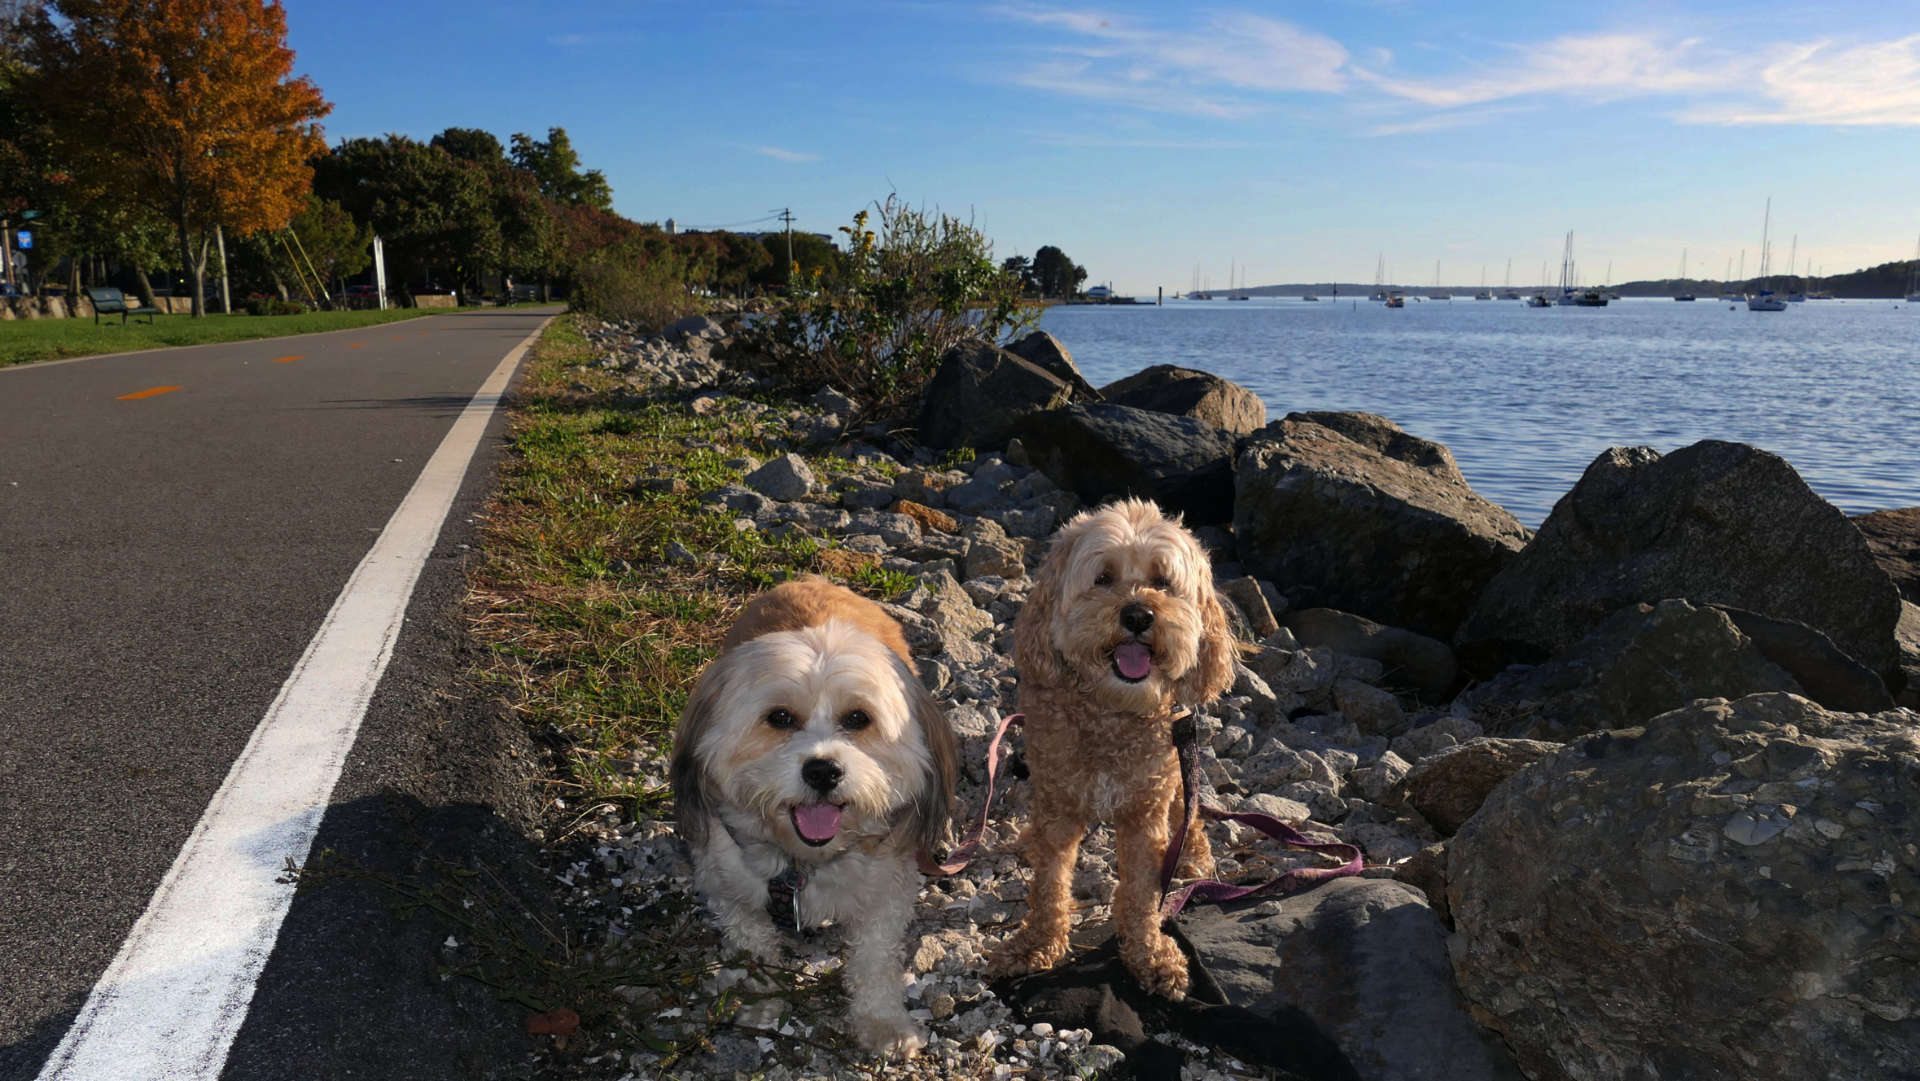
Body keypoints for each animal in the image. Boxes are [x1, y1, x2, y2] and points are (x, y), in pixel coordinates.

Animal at [672, 579, 956, 1059]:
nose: (823, 771)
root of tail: (810, 580)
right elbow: (755, 947)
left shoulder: (885, 892)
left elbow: (874, 961)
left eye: (858, 718)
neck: (803, 862)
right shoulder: (729, 888)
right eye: (780, 717)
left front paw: (882, 1023)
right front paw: (761, 1000)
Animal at [983, 499, 1236, 998]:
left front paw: (1149, 954)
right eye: (1103, 578)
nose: (1138, 615)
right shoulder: (1058, 805)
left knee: (1188, 809)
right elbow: (1049, 884)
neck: (1110, 714)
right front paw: (1035, 945)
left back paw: (1193, 855)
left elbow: (1140, 893)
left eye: (1163, 581)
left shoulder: (1144, 812)